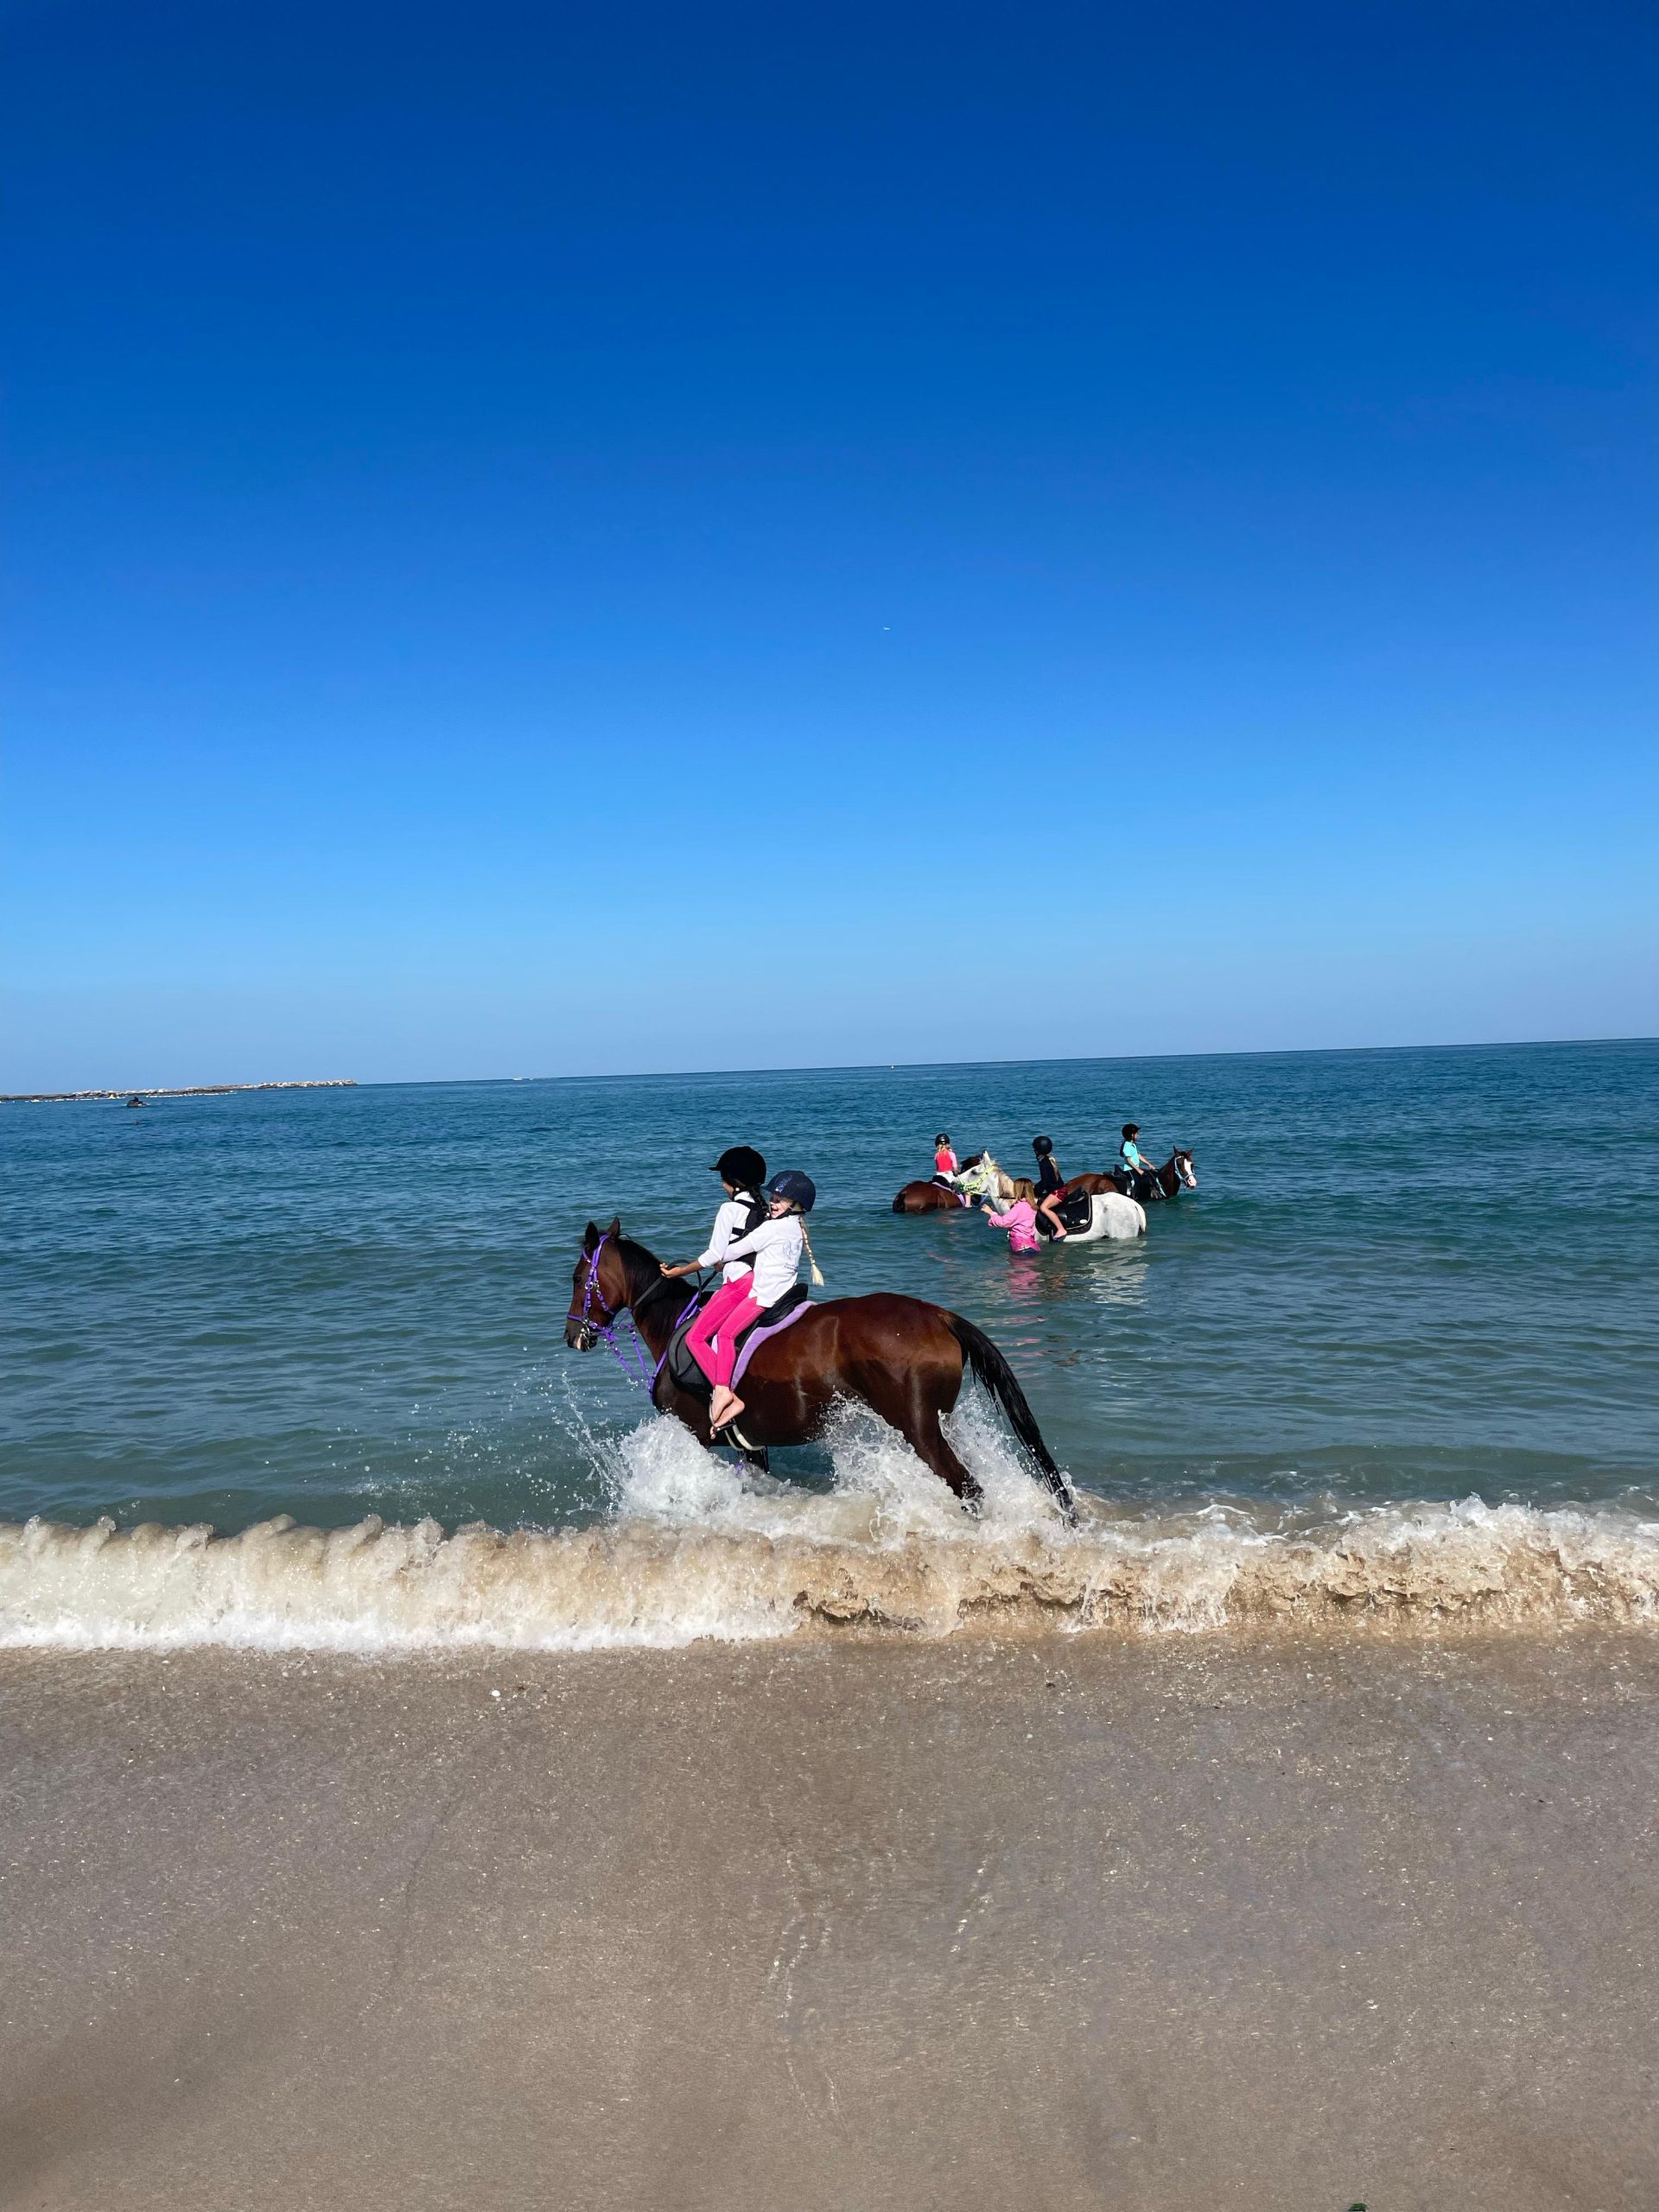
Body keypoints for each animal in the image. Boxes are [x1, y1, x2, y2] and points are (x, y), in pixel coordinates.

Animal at [565, 1218, 1075, 1520]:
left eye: (576, 1277)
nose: (574, 1336)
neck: (676, 1322)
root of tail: (938, 1315)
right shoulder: (752, 1445)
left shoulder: (697, 1435)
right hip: (940, 1420)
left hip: (919, 1428)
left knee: (967, 1487)